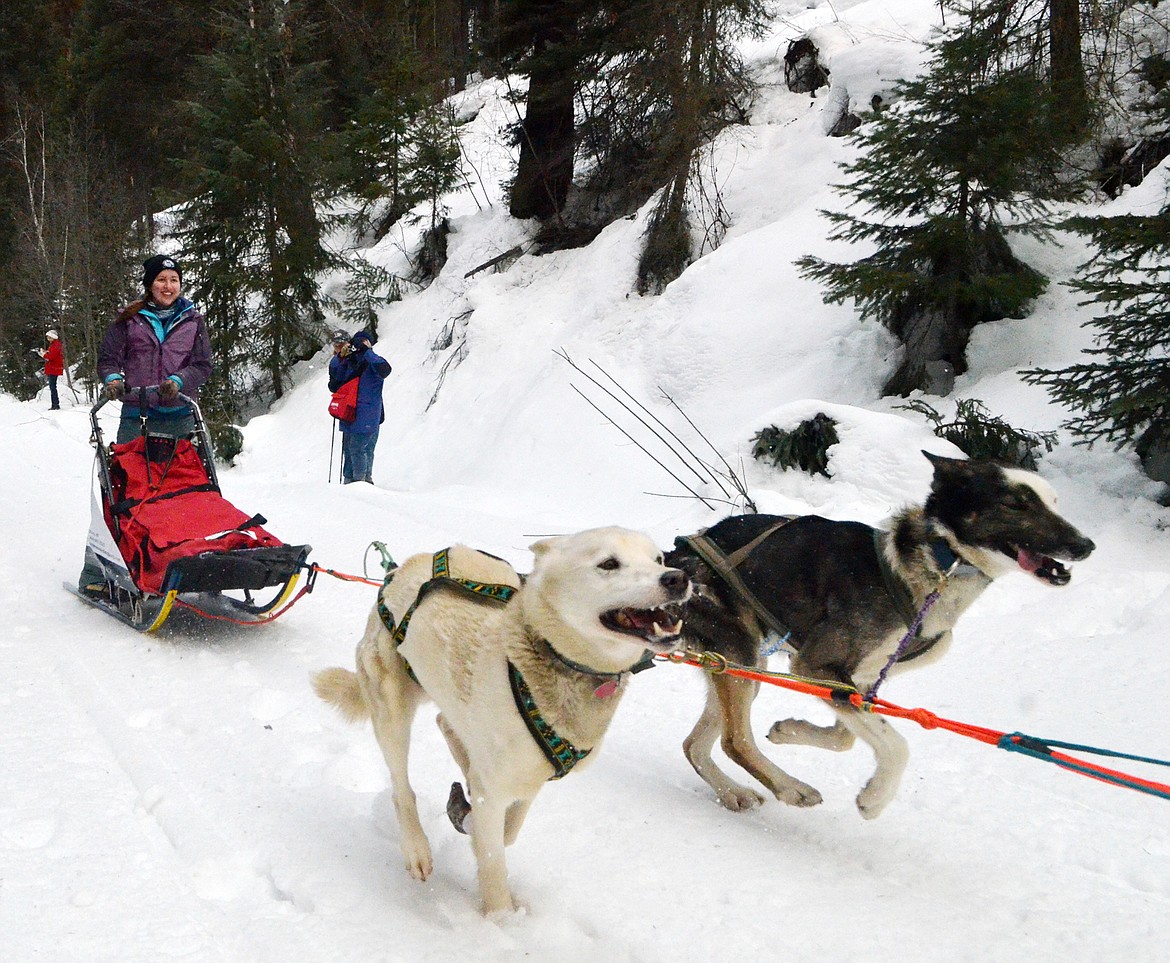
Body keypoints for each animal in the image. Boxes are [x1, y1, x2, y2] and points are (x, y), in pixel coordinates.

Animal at [315, 531, 687, 917]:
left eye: (658, 559)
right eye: (609, 564)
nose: (677, 578)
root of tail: (402, 568)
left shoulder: (530, 778)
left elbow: (508, 832)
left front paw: (470, 822)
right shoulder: (494, 790)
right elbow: (494, 862)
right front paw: (501, 920)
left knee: (446, 724)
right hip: (391, 709)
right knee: (402, 788)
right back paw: (417, 847)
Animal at [669, 454, 1095, 819]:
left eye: (1054, 502)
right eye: (1016, 504)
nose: (1086, 545)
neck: (936, 569)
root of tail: (670, 563)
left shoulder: (858, 679)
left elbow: (848, 735)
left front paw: (791, 730)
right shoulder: (814, 663)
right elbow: (896, 744)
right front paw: (876, 797)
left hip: (740, 664)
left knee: (695, 744)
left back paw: (732, 792)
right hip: (739, 653)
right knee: (734, 741)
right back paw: (791, 788)